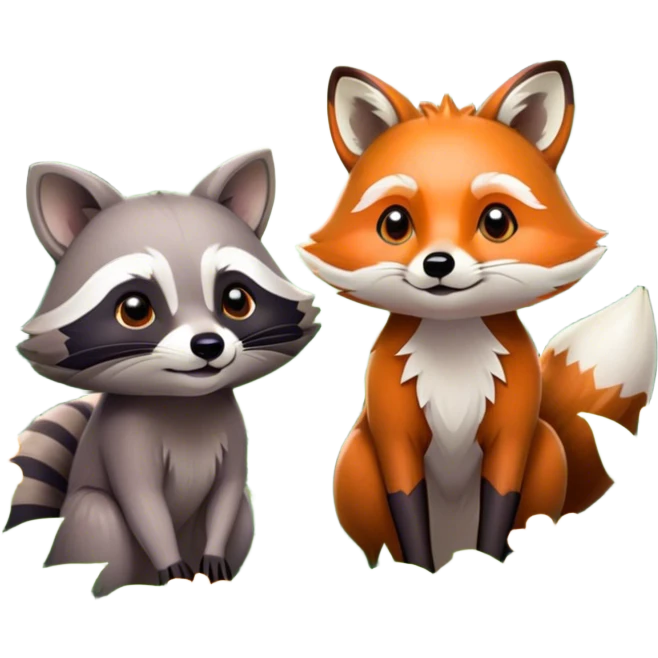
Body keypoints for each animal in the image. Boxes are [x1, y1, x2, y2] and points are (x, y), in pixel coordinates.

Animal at [5, 150, 321, 598]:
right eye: (135, 309)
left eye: (236, 299)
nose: (208, 345)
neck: (183, 404)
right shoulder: (125, 439)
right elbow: (143, 504)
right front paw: (169, 562)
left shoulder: (231, 430)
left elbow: (227, 493)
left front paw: (215, 554)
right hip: (88, 523)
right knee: (100, 520)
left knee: (242, 509)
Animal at [298, 61, 658, 573]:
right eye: (395, 224)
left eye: (496, 221)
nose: (438, 263)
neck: (454, 360)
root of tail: (456, 543)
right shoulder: (395, 440)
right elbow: (411, 522)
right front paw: (422, 570)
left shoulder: (512, 437)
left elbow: (498, 516)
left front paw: (491, 559)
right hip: (354, 465)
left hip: (547, 451)